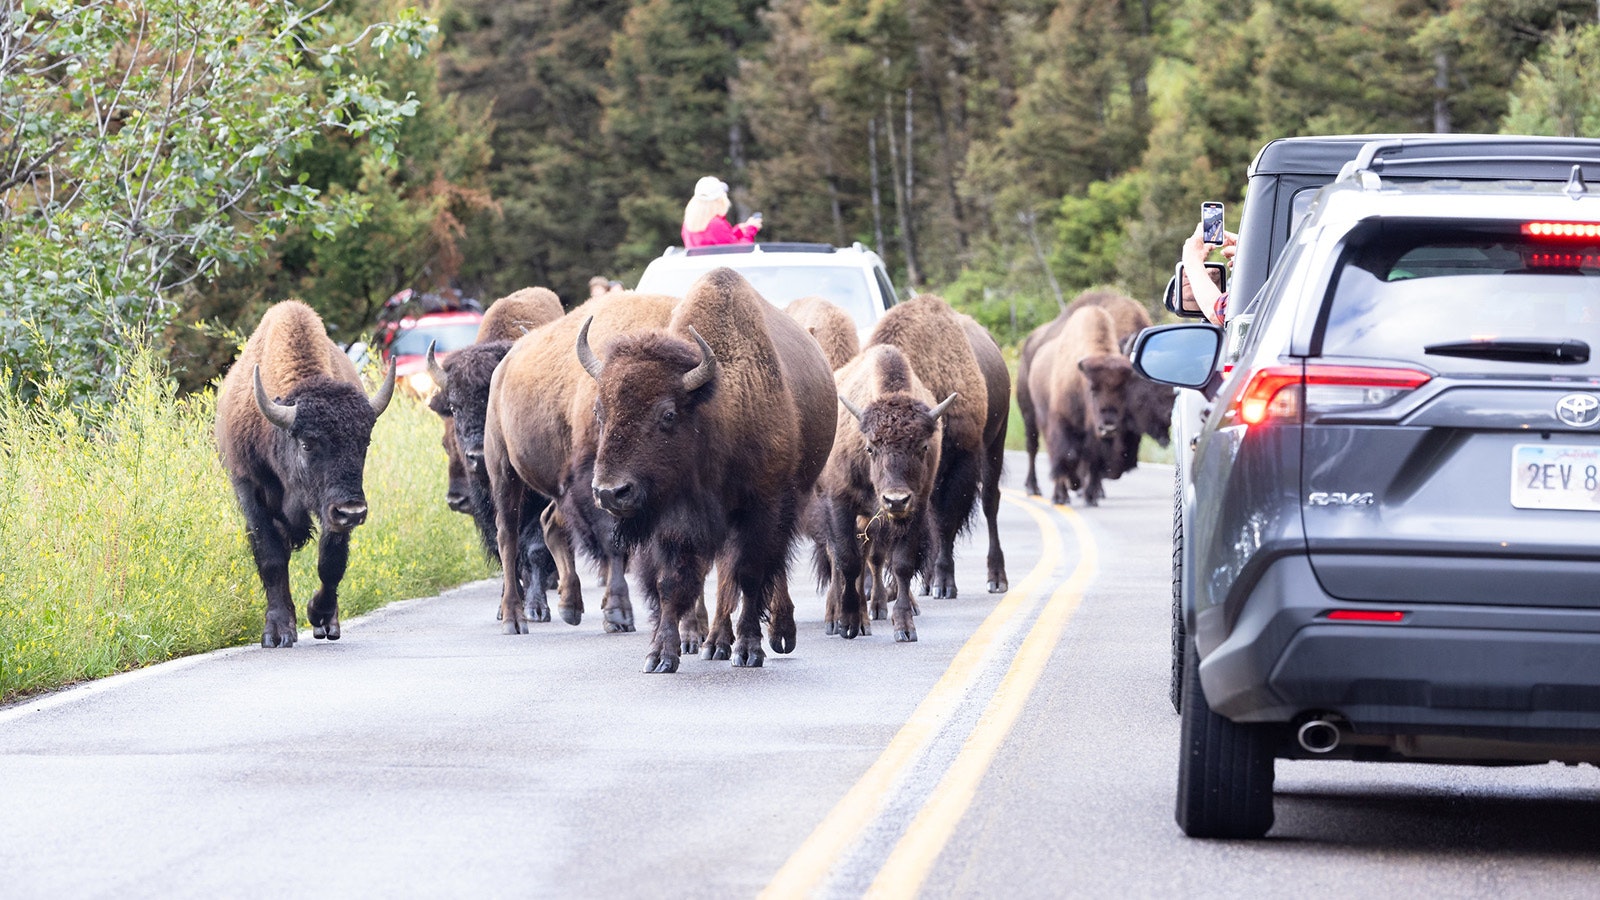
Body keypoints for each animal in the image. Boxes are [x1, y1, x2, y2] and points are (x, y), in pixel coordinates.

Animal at [215, 300, 396, 647]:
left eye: (364, 441)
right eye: (307, 443)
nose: (352, 511)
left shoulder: (330, 511)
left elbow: (331, 562)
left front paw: (320, 616)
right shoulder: (248, 487)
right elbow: (271, 558)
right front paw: (277, 632)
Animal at [580, 267, 835, 673]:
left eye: (668, 414)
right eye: (599, 411)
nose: (610, 492)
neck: (716, 413)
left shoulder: (763, 508)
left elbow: (750, 574)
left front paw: (749, 649)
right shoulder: (673, 521)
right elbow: (674, 582)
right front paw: (660, 655)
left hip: (789, 501)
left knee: (763, 568)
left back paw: (775, 634)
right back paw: (714, 643)